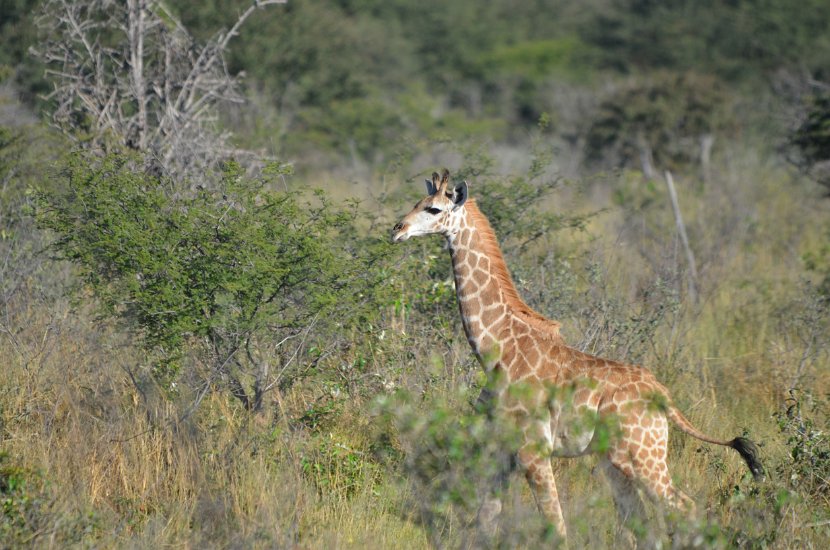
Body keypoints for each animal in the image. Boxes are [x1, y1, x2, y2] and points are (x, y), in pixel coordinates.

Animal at [391, 169, 763, 542]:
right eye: (417, 201)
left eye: (435, 209)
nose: (397, 228)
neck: (496, 350)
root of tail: (664, 397)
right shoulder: (501, 450)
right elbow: (485, 522)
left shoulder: (534, 451)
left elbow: (556, 527)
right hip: (617, 461)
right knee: (641, 523)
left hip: (644, 458)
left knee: (686, 508)